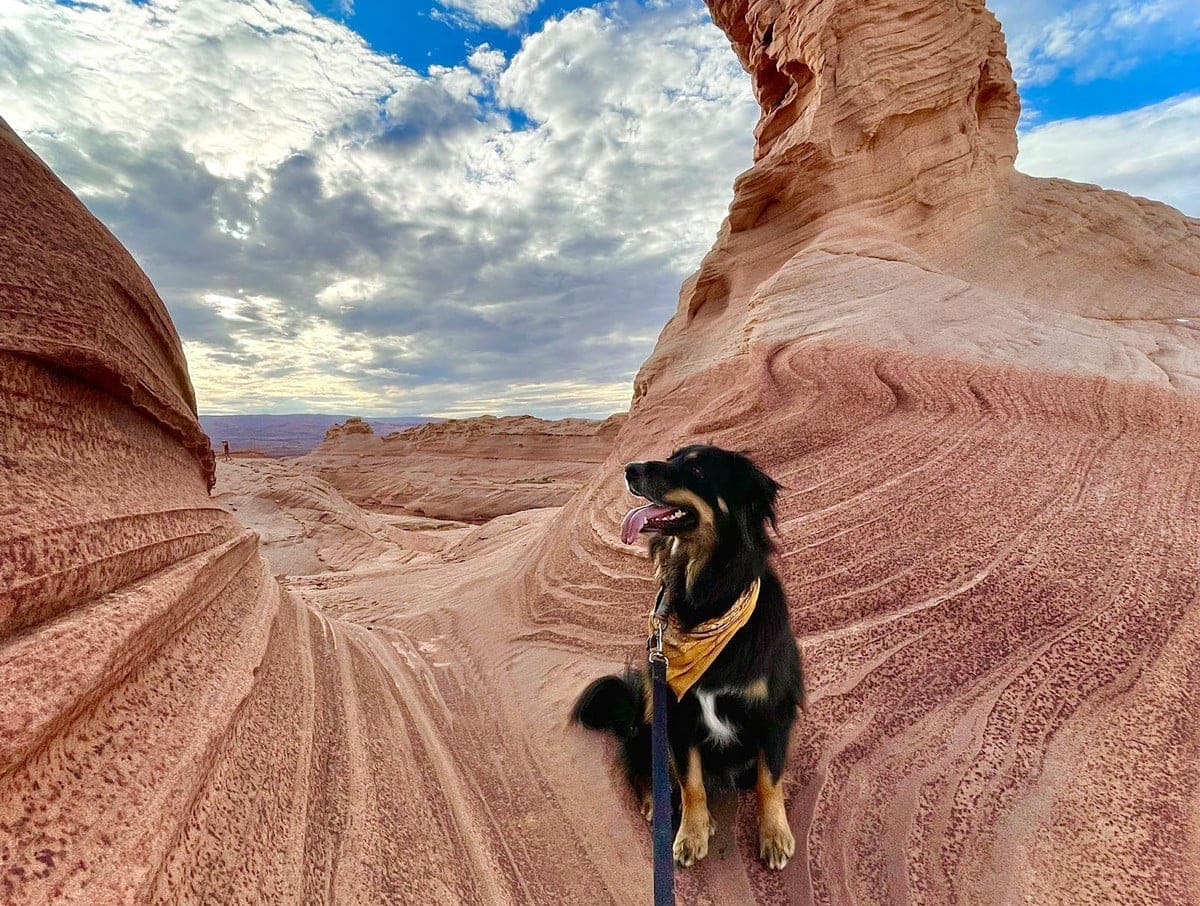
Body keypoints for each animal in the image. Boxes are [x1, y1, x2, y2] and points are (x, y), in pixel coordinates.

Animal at [571, 446, 806, 873]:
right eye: (671, 457)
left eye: (696, 469)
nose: (629, 469)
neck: (708, 604)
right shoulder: (677, 714)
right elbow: (691, 783)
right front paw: (691, 834)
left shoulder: (773, 712)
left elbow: (768, 780)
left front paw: (774, 835)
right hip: (649, 718)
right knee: (647, 771)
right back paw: (657, 805)